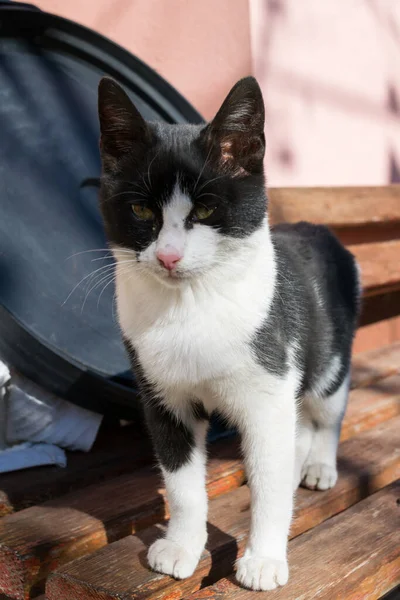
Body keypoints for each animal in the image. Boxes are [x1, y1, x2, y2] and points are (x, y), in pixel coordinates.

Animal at [98, 77, 360, 592]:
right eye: (140, 210)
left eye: (204, 208)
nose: (169, 256)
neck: (190, 306)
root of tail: (318, 228)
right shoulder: (161, 395)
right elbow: (181, 481)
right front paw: (182, 546)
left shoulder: (269, 385)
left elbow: (267, 479)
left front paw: (264, 559)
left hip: (328, 355)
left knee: (326, 409)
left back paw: (318, 465)